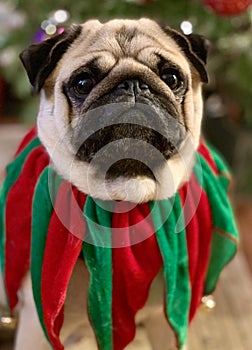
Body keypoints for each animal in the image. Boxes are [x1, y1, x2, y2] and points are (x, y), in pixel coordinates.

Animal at [0, 17, 209, 348]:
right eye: (83, 83)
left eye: (172, 78)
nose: (133, 84)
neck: (127, 199)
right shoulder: (39, 327)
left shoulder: (167, 322)